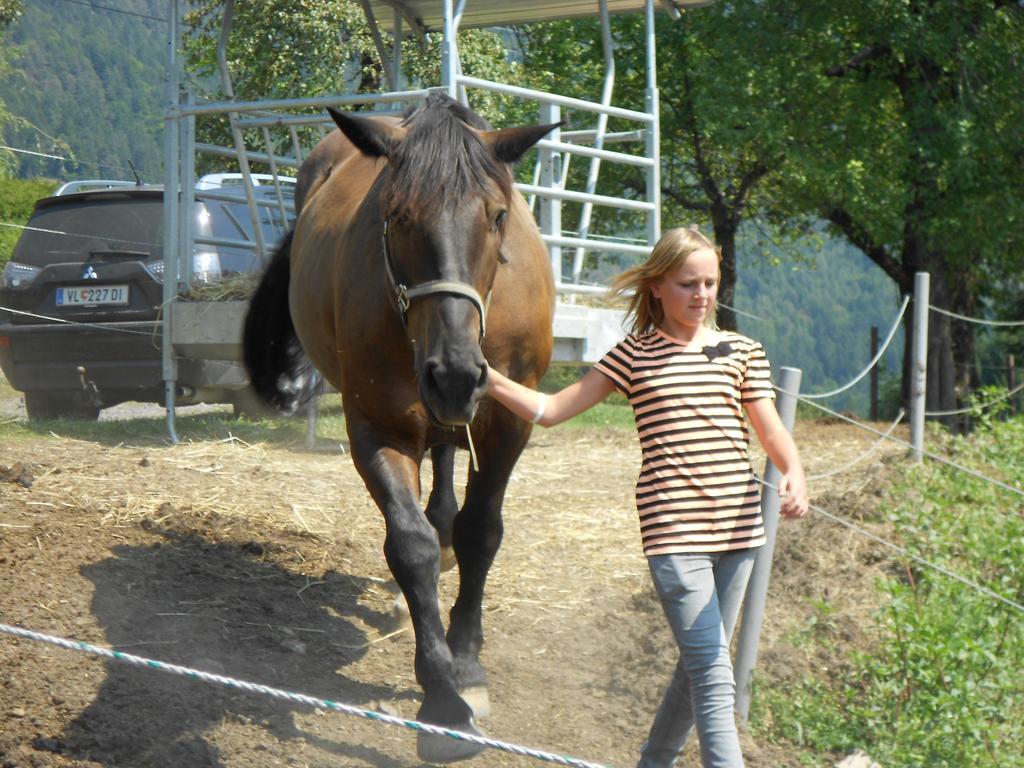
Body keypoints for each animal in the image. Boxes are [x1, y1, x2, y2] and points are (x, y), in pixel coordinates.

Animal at [240, 93, 557, 761]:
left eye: (498, 216)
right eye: (397, 215)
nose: (454, 373)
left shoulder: (507, 423)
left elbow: (482, 533)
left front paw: (467, 665)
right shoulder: (378, 427)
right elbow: (410, 546)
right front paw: (441, 698)